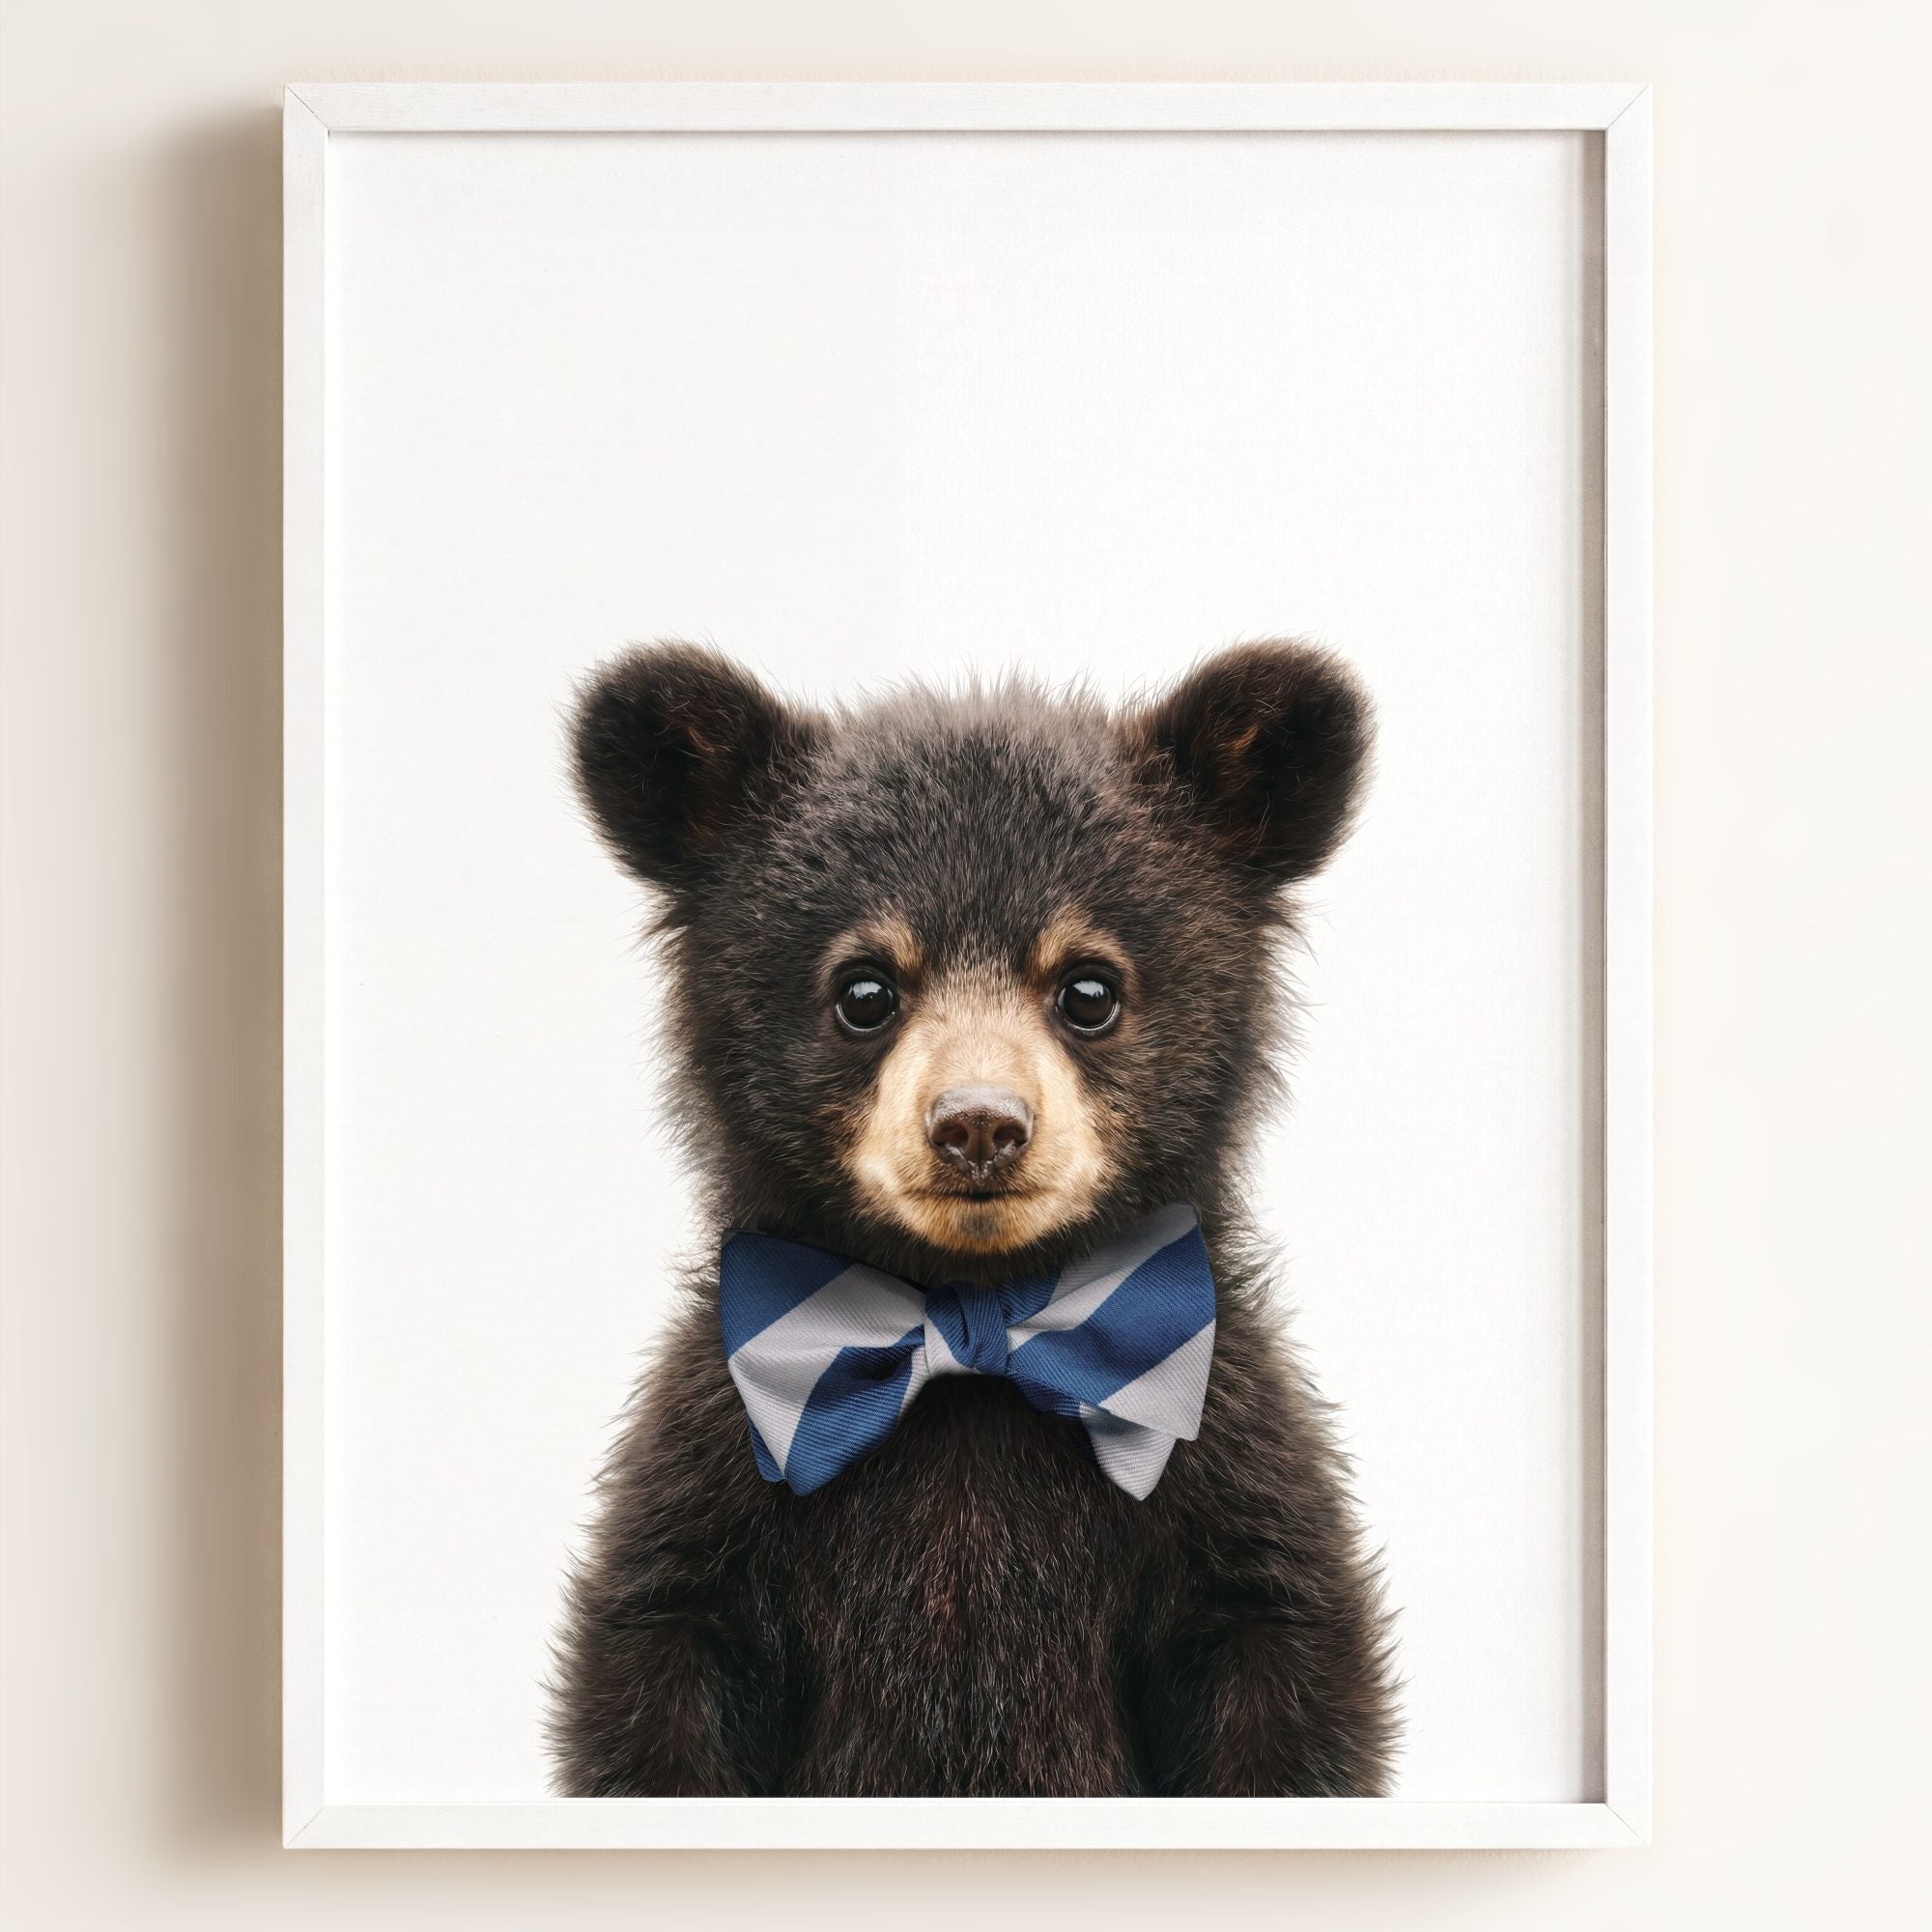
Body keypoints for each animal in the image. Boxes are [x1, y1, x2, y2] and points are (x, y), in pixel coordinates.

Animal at [549, 638, 1397, 1797]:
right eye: (864, 989)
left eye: (1089, 987)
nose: (979, 1125)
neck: (973, 1321)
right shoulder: (711, 1486)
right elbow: (656, 1681)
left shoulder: (1231, 1480)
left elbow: (1284, 1680)